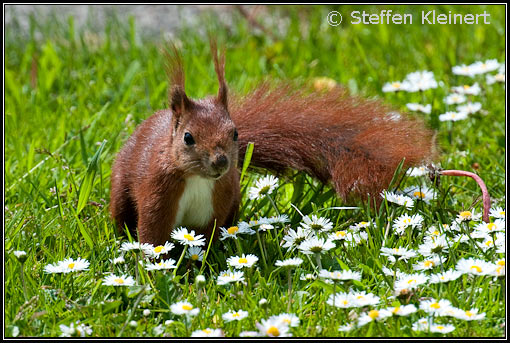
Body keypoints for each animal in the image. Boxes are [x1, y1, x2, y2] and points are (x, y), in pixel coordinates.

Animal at [109, 42, 436, 247]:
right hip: (121, 187)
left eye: (235, 133)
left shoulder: (215, 204)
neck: (197, 179)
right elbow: (152, 236)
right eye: (188, 138)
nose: (221, 162)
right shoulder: (157, 194)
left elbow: (201, 240)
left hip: (233, 203)